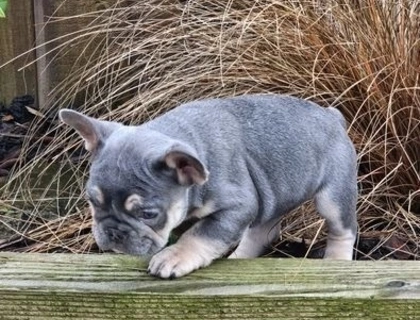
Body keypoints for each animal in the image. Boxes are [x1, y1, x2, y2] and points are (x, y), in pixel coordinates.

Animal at [60, 94, 358, 278]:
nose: (113, 232)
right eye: (92, 202)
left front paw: (175, 256)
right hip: (271, 194)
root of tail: (332, 115)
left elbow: (201, 234)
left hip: (333, 196)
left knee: (343, 229)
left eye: (148, 214)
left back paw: (337, 262)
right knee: (263, 230)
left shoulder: (236, 207)